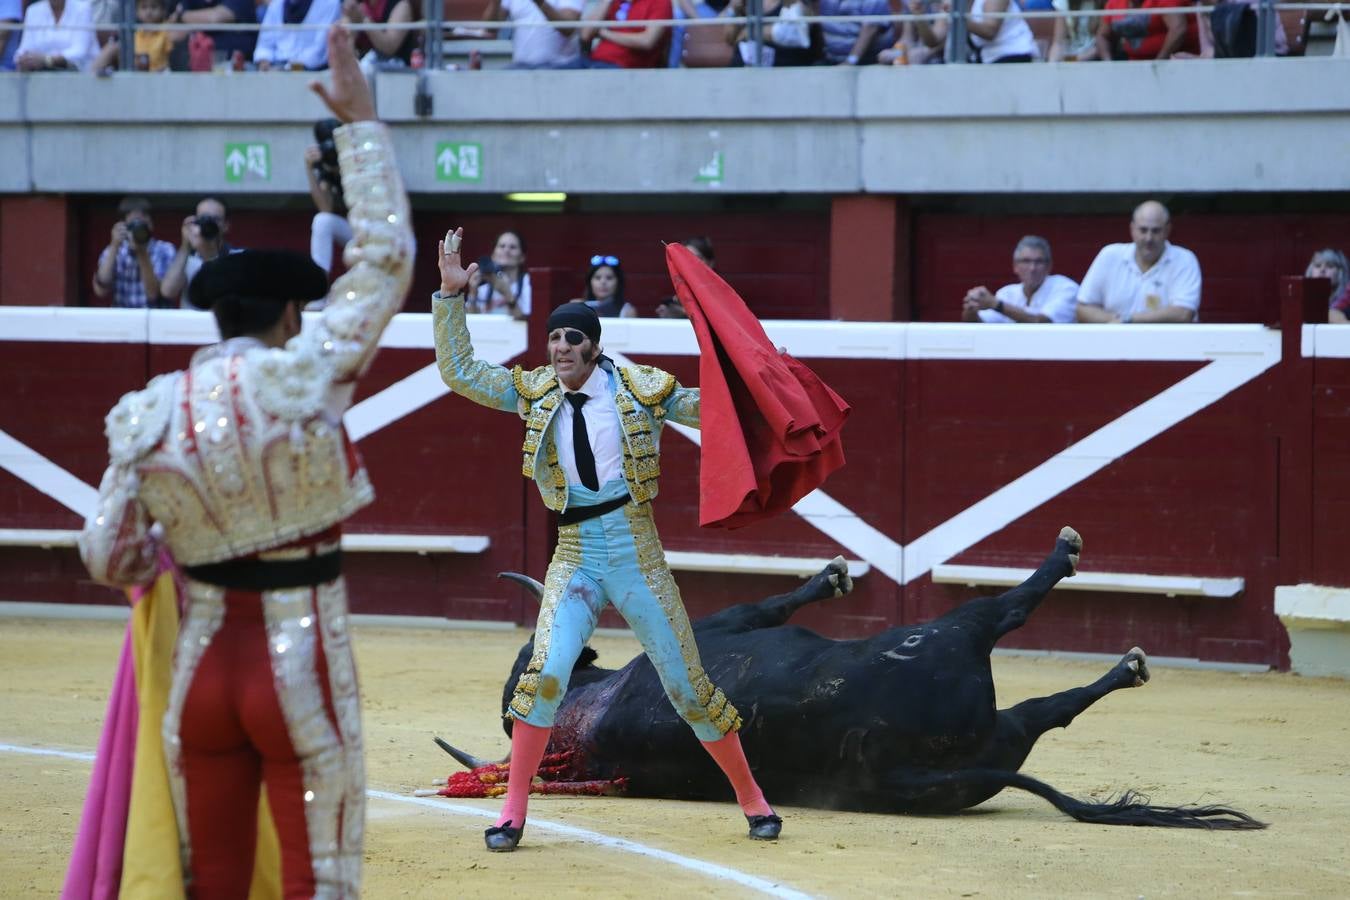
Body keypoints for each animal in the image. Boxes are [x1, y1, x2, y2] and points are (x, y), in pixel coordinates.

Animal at [442, 528, 1263, 831]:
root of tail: (897, 768)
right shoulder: (726, 621)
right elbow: (769, 602)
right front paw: (828, 578)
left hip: (996, 741)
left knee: (1046, 711)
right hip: (952, 648)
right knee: (1005, 618)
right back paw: (1089, 603)